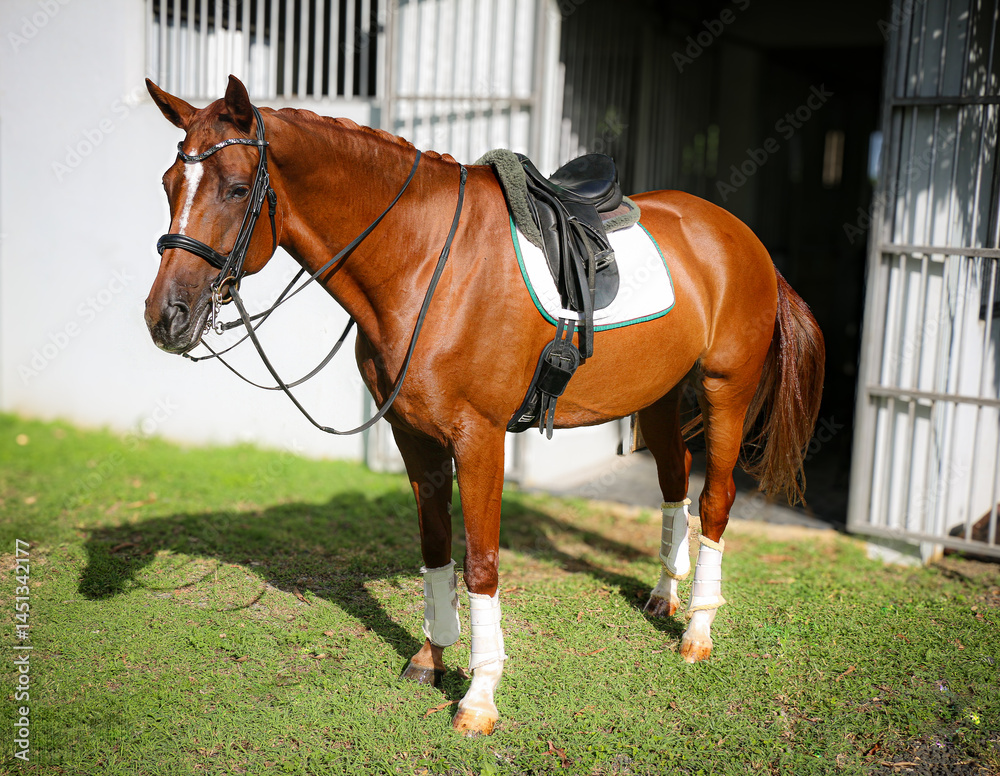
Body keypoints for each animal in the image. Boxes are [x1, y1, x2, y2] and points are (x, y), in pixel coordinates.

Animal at [143, 75, 824, 736]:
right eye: (169, 184)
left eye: (236, 189)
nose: (165, 318)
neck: (425, 265)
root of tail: (740, 236)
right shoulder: (414, 437)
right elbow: (436, 548)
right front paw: (431, 656)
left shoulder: (480, 439)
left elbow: (482, 565)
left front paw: (480, 696)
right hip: (658, 395)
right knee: (674, 483)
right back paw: (665, 596)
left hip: (725, 391)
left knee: (715, 499)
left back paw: (697, 631)